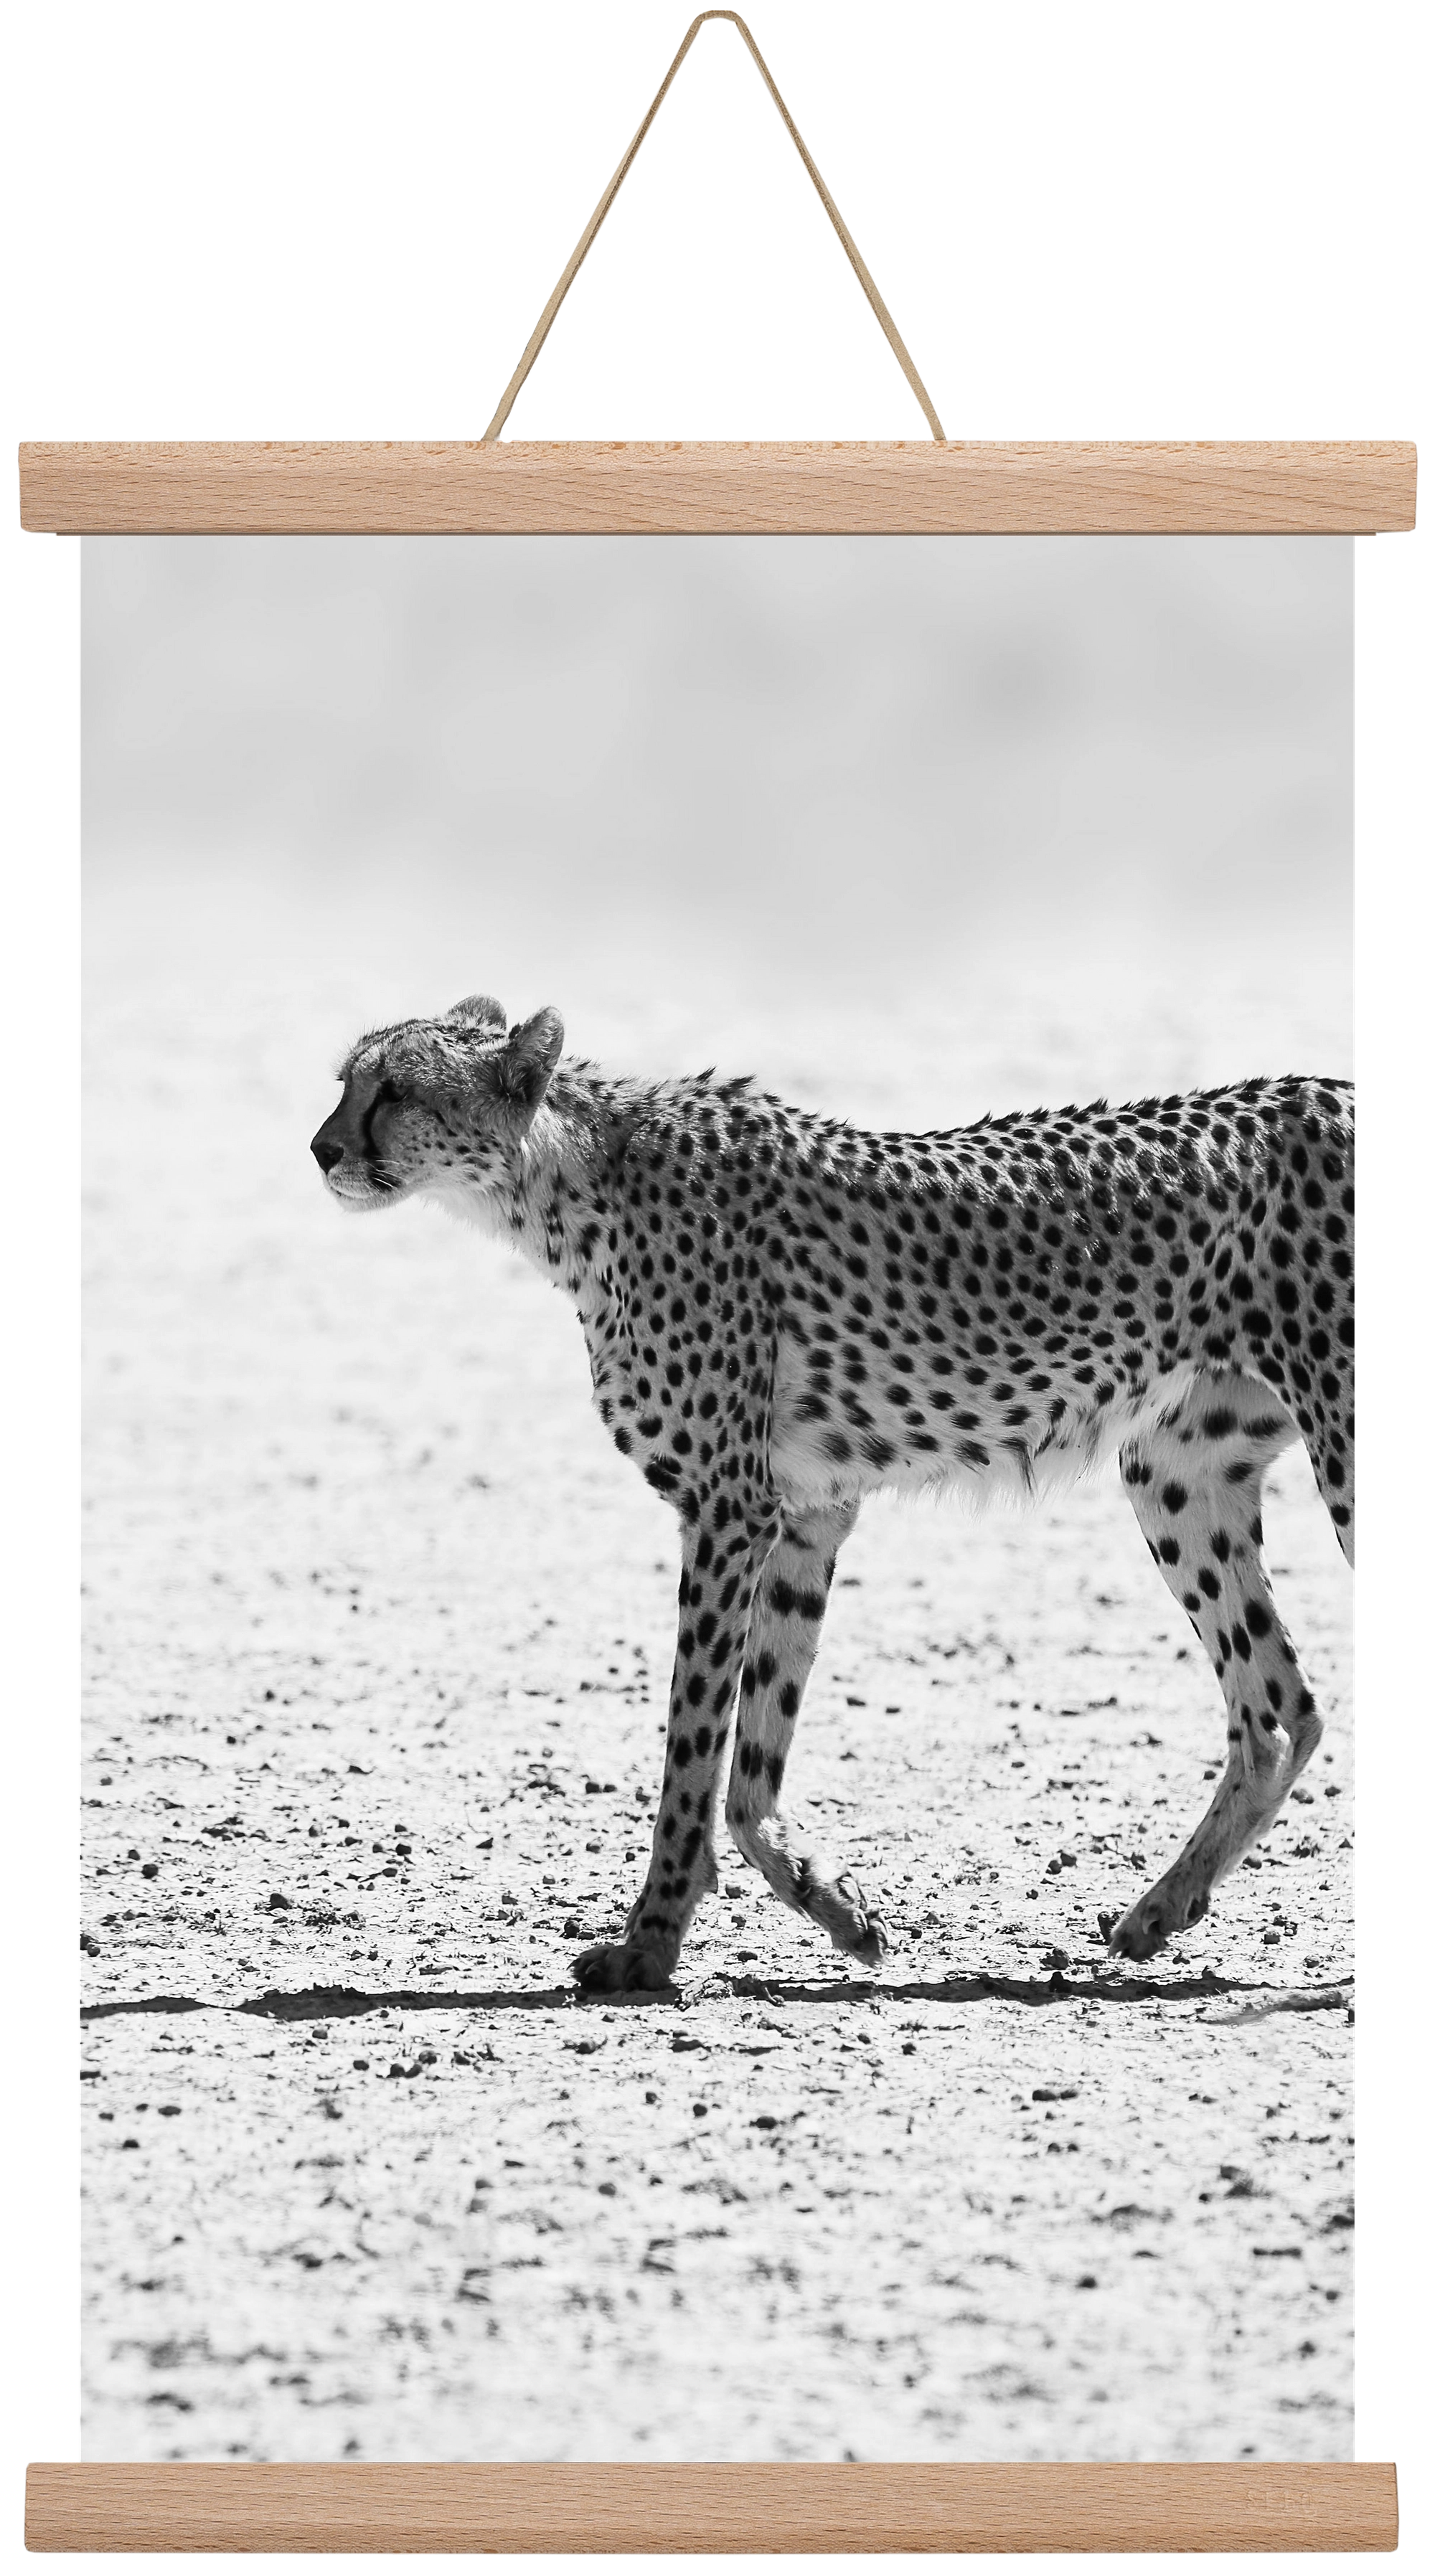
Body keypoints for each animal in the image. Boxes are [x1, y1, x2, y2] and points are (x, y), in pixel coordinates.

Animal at [311, 995, 1360, 1995]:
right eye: (344, 1081)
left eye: (395, 1090)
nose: (321, 1148)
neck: (564, 1181)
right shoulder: (805, 1512)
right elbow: (751, 1762)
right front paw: (837, 1908)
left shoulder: (727, 1509)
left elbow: (692, 1748)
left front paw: (647, 1945)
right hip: (1175, 1472)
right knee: (1279, 1708)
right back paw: (1160, 1909)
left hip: (1340, 1451)